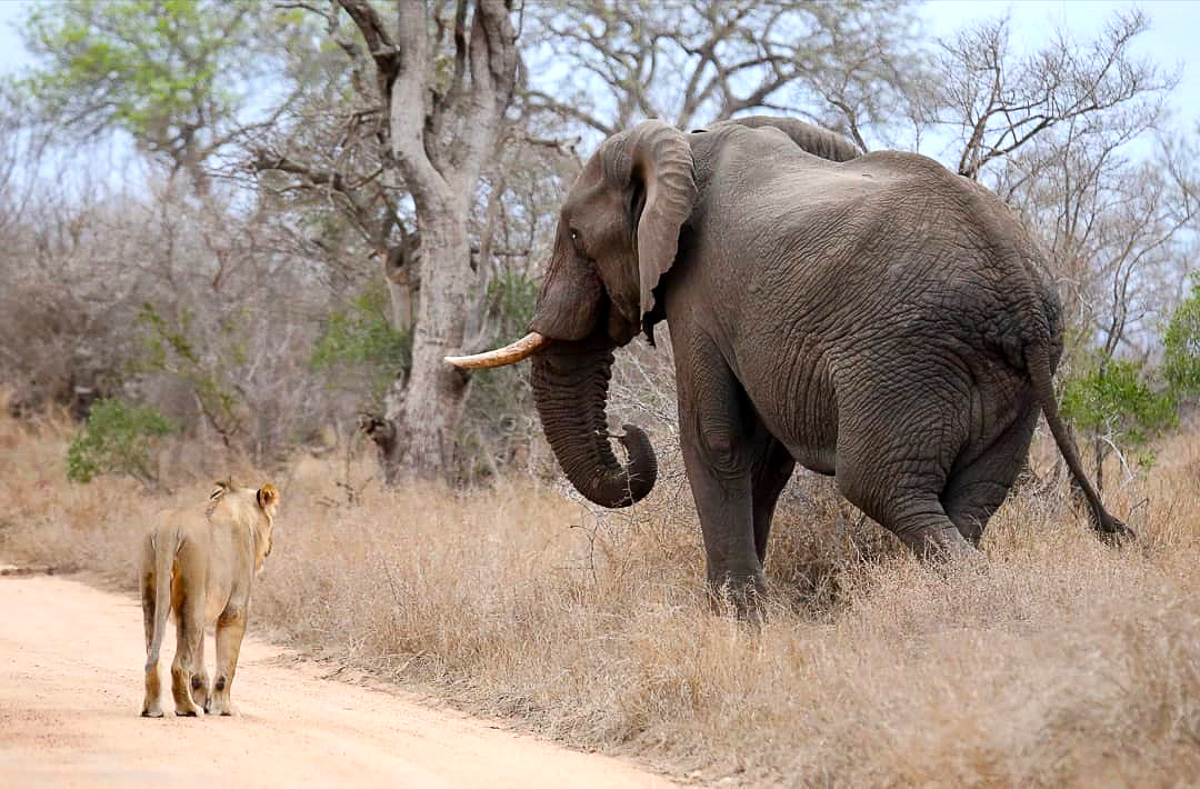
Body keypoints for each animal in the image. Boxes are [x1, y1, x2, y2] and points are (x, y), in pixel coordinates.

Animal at [140, 480, 280, 717]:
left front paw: (204, 701)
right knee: (178, 665)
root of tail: (169, 527)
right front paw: (224, 708)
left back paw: (153, 710)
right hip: (194, 592)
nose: (270, 547)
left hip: (157, 594)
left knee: (154, 656)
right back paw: (188, 709)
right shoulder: (235, 608)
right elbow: (227, 666)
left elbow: (198, 667)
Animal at [448, 115, 1129, 612]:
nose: (625, 432)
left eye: (575, 237)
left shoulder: (700, 292)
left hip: (902, 360)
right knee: (971, 500)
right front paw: (743, 604)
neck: (687, 145)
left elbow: (715, 437)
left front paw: (734, 613)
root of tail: (1021, 291)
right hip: (1006, 383)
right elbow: (765, 460)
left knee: (881, 486)